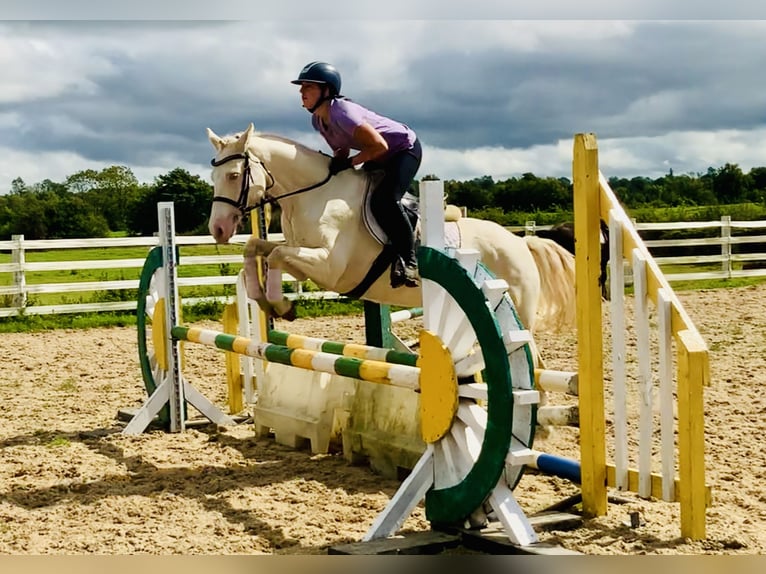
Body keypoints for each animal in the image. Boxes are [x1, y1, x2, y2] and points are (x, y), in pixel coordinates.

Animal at [204, 122, 576, 364]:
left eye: (234, 176)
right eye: (213, 176)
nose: (218, 229)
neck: (315, 194)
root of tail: (521, 243)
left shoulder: (328, 265)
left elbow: (278, 253)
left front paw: (280, 306)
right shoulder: (302, 258)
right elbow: (257, 249)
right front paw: (269, 303)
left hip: (516, 313)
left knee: (533, 361)